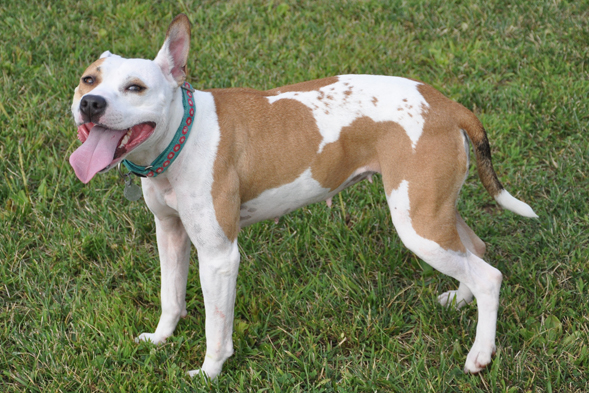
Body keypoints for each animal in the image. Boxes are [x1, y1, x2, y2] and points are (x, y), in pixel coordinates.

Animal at [69, 13, 536, 378]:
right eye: (87, 80)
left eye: (135, 87)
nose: (90, 103)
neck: (181, 134)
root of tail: (446, 105)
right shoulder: (170, 234)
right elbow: (171, 297)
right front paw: (161, 338)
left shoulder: (219, 257)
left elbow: (216, 327)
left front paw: (209, 372)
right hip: (431, 212)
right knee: (475, 250)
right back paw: (459, 300)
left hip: (417, 226)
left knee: (489, 276)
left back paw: (480, 354)